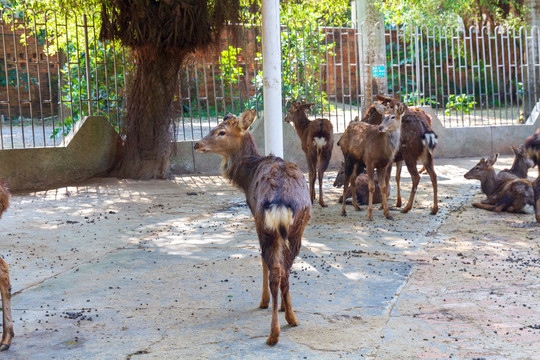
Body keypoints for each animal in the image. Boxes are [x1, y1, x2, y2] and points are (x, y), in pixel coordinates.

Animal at [195, 108, 312, 344]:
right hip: (297, 229)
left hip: (266, 226)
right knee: (285, 271)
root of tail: (280, 203)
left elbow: (262, 262)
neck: (246, 178)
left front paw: (264, 302)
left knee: (275, 271)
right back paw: (291, 317)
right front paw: (283, 307)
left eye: (221, 132)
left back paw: (273, 333)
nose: (196, 144)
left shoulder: (254, 217)